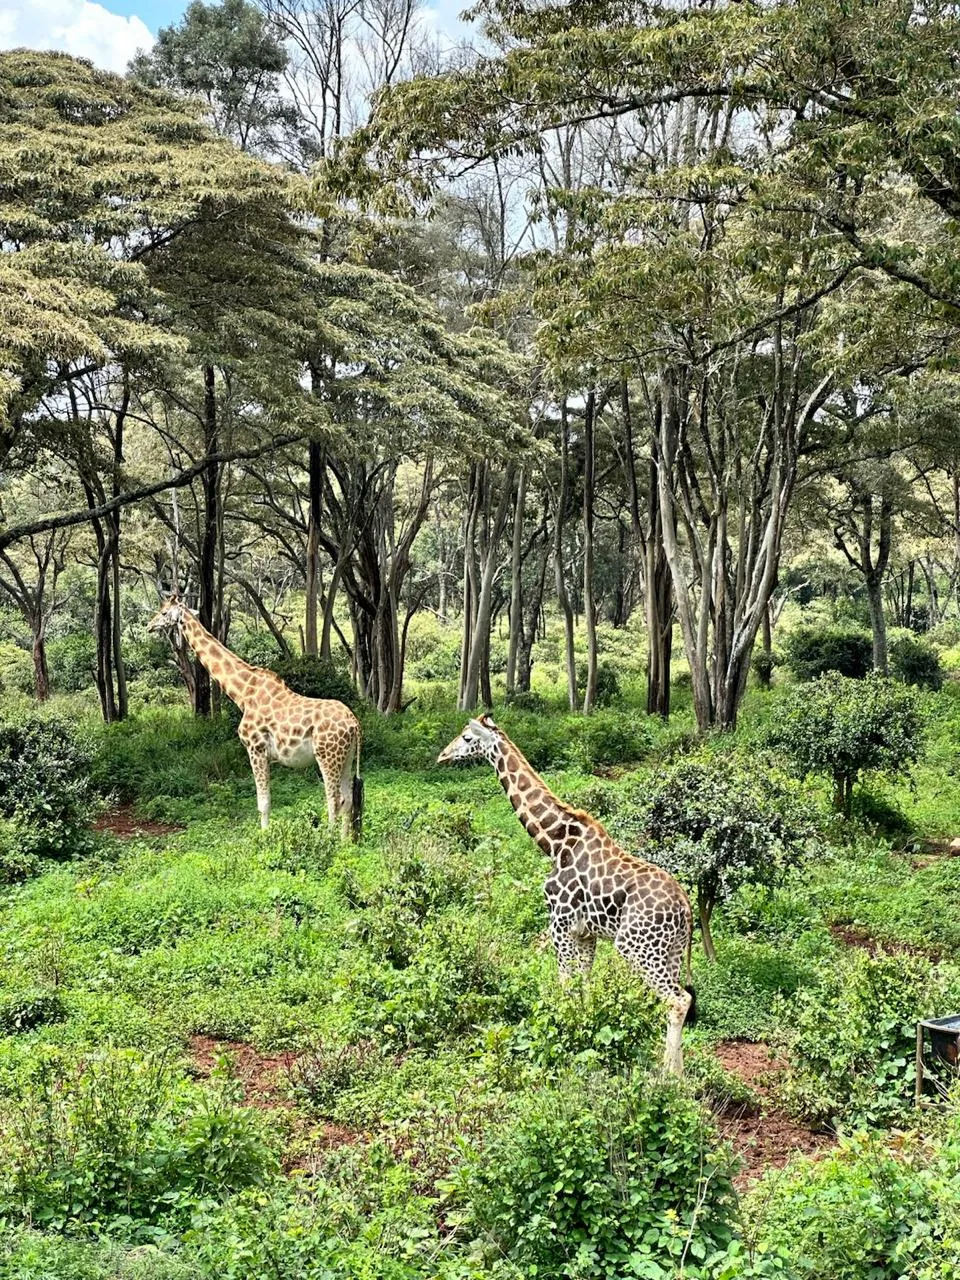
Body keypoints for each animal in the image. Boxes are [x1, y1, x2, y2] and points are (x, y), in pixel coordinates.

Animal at [148, 593, 363, 834]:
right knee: (347, 799)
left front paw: (264, 836)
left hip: (327, 755)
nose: (149, 626)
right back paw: (345, 840)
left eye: (164, 612)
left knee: (333, 800)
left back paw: (329, 839)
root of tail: (354, 724)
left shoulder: (255, 748)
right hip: (347, 756)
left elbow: (263, 802)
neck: (243, 693)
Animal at [440, 716, 696, 1075]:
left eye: (466, 737)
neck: (554, 842)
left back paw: (668, 1077)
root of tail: (686, 908)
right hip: (670, 951)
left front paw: (562, 1036)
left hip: (636, 946)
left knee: (678, 999)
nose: (443, 755)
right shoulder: (586, 933)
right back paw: (676, 1073)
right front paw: (586, 1033)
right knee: (678, 999)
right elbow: (584, 985)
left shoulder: (559, 923)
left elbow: (564, 982)